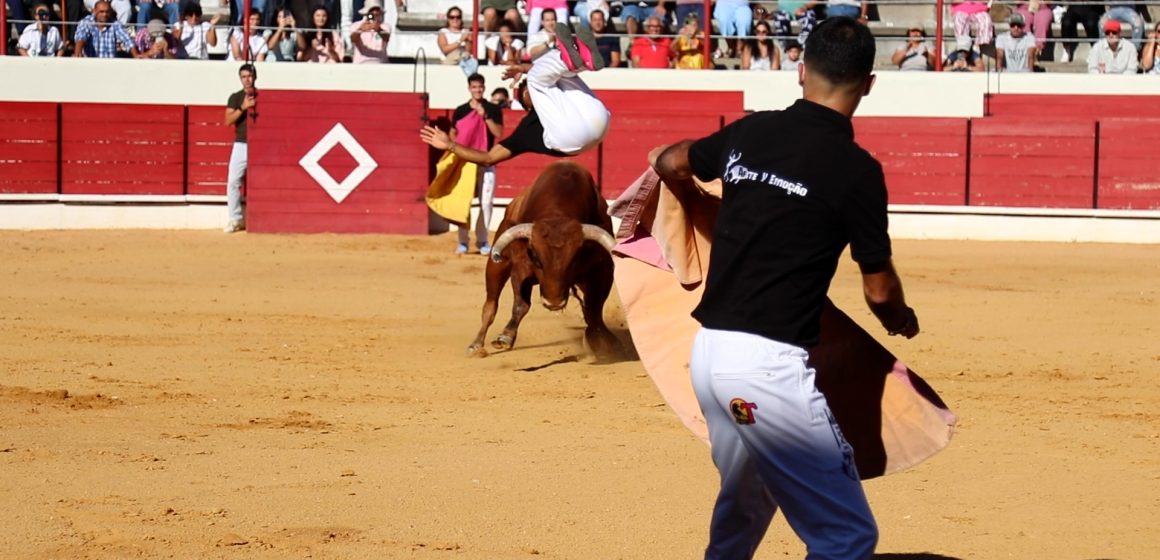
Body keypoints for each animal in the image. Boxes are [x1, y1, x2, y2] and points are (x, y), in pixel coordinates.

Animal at [466, 161, 621, 359]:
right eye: (536, 258)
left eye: (575, 260)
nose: (553, 303)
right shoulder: (521, 268)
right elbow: (521, 304)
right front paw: (505, 336)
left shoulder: (603, 270)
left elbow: (594, 311)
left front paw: (601, 340)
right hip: (496, 266)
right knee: (491, 304)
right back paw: (476, 345)